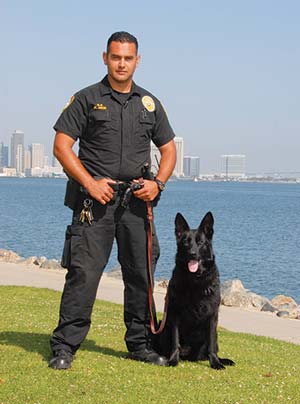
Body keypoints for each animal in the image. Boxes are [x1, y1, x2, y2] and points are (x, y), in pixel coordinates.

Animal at [156, 211, 236, 370]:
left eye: (200, 243)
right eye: (186, 242)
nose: (192, 253)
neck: (195, 281)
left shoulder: (212, 317)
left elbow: (211, 346)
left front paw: (215, 362)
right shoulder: (174, 315)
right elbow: (175, 342)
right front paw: (173, 360)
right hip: (164, 326)